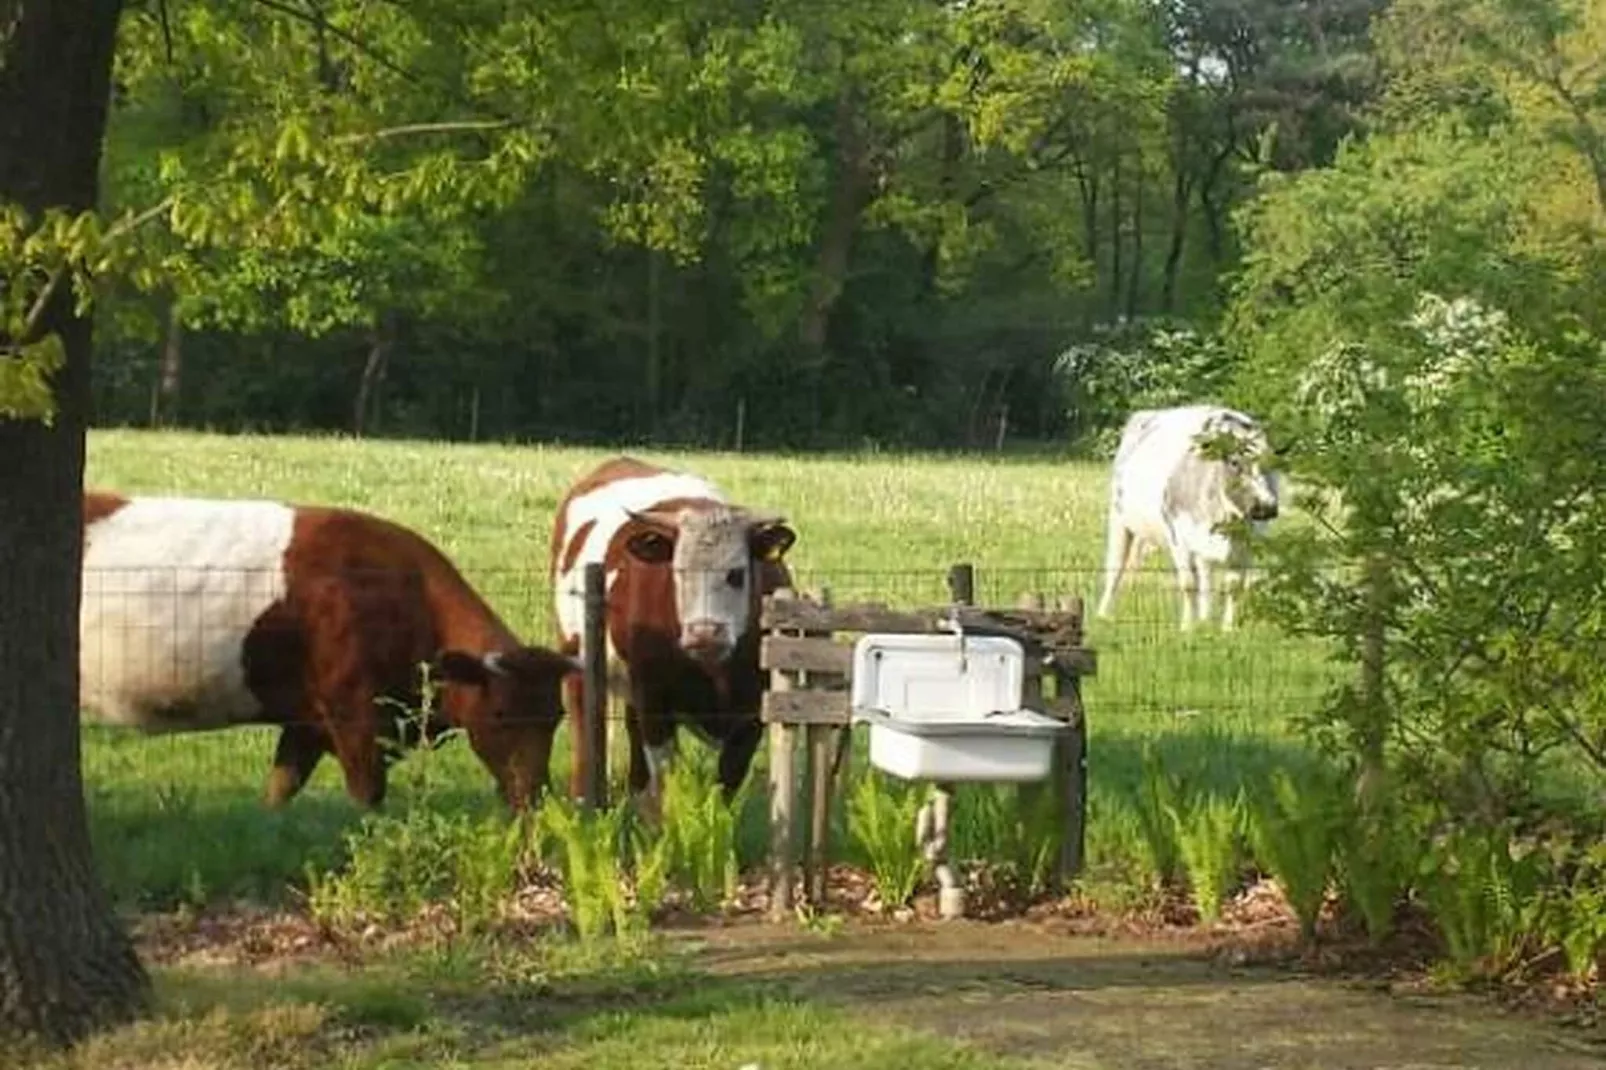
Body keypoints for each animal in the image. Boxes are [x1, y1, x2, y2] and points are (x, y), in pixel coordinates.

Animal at [79, 491, 584, 809]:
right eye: (500, 714)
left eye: (555, 717)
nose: (534, 797)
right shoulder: (354, 712)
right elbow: (367, 795)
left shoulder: (307, 723)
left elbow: (279, 791)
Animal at [549, 456, 799, 800]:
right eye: (678, 571)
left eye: (736, 573)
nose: (705, 633)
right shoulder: (656, 705)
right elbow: (667, 783)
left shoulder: (751, 718)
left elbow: (725, 788)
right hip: (578, 657)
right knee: (584, 722)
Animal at [1092, 404, 1278, 629]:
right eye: (1234, 462)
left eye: (1271, 463)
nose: (1267, 506)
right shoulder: (1178, 538)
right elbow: (1188, 583)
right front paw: (1188, 626)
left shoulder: (1245, 543)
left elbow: (1233, 585)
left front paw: (1227, 628)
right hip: (1120, 520)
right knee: (1115, 568)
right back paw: (1103, 614)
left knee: (1205, 575)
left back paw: (1205, 618)